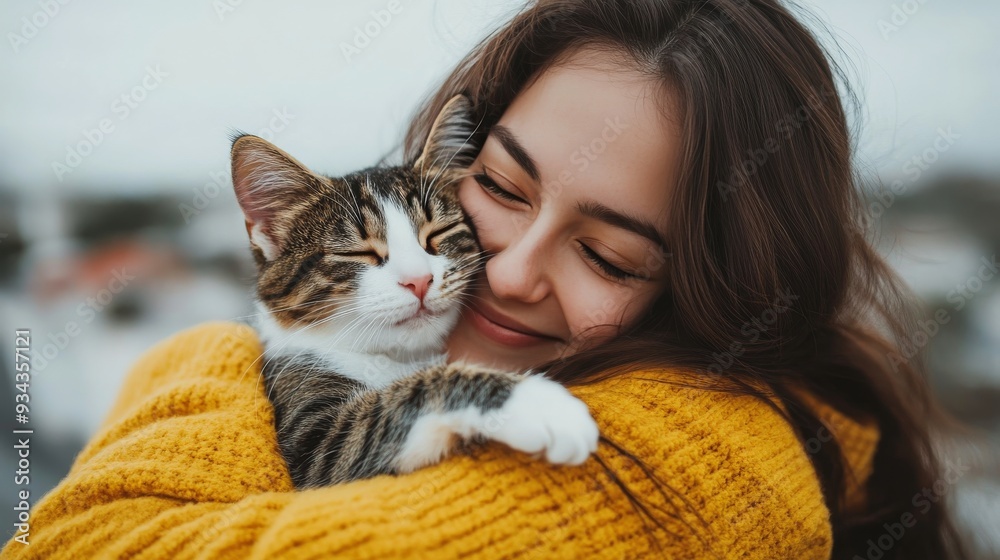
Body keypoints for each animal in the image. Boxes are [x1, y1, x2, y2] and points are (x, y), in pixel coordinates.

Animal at [230, 94, 596, 488]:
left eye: (439, 232)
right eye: (358, 253)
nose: (418, 280)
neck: (398, 357)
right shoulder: (311, 432)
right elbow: (387, 411)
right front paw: (538, 402)